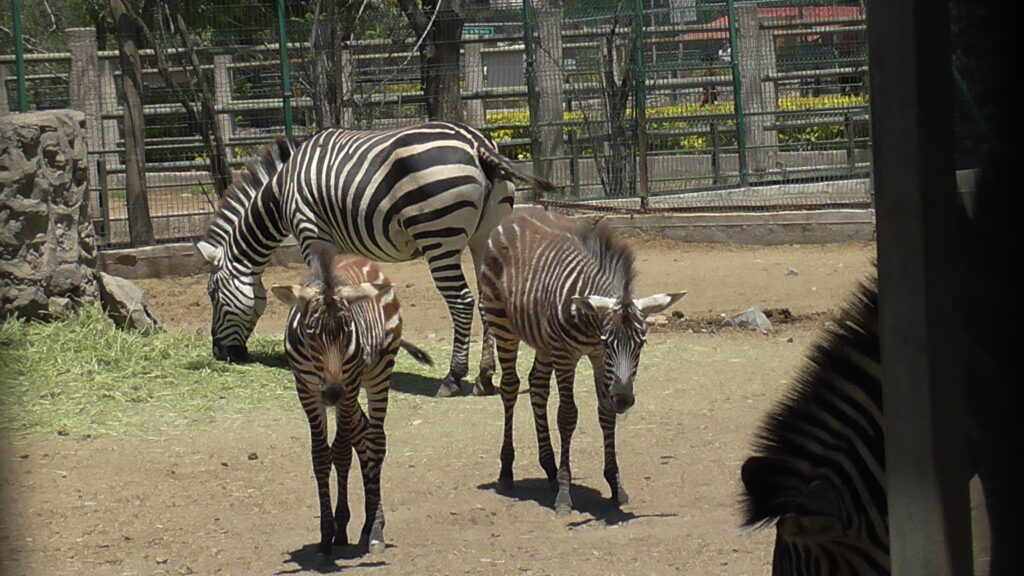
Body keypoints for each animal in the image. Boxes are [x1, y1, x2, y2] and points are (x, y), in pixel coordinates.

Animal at [196, 121, 554, 397]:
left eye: (213, 295)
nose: (219, 353)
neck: (282, 192)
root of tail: (477, 144)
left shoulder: (311, 232)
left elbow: (319, 291)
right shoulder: (341, 242)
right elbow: (349, 289)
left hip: (438, 237)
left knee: (462, 302)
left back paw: (453, 378)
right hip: (485, 235)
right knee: (486, 300)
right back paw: (484, 378)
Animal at [270, 241, 432, 558]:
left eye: (347, 333)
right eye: (311, 335)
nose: (333, 393)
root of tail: (359, 258)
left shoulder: (350, 384)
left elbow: (341, 452)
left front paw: (342, 525)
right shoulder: (306, 390)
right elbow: (322, 455)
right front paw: (328, 533)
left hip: (376, 375)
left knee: (375, 440)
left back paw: (374, 529)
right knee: (363, 434)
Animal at [476, 209, 686, 515]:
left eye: (642, 343)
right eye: (609, 342)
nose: (624, 398)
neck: (589, 323)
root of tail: (515, 215)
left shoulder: (597, 359)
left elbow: (606, 413)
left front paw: (615, 486)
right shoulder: (567, 355)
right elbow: (567, 416)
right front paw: (565, 494)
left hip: (543, 341)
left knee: (537, 387)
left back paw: (550, 469)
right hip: (501, 323)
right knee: (510, 388)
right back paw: (507, 472)